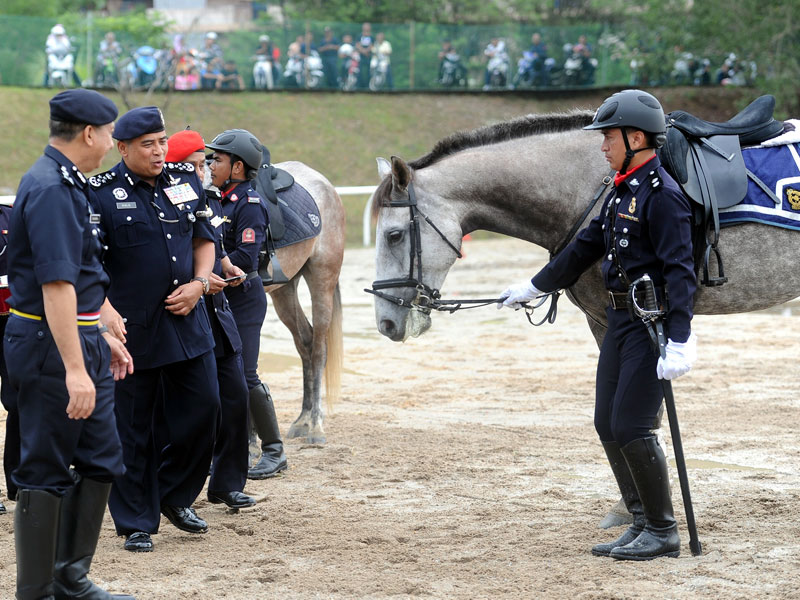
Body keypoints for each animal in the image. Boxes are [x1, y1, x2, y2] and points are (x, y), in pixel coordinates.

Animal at [262, 161, 345, 445]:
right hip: (284, 291)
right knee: (305, 344)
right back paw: (303, 419)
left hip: (322, 280)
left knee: (319, 349)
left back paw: (316, 426)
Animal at [368, 110, 800, 523]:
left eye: (394, 235)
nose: (386, 323)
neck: (597, 185)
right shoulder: (603, 321)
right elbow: (612, 418)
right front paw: (631, 506)